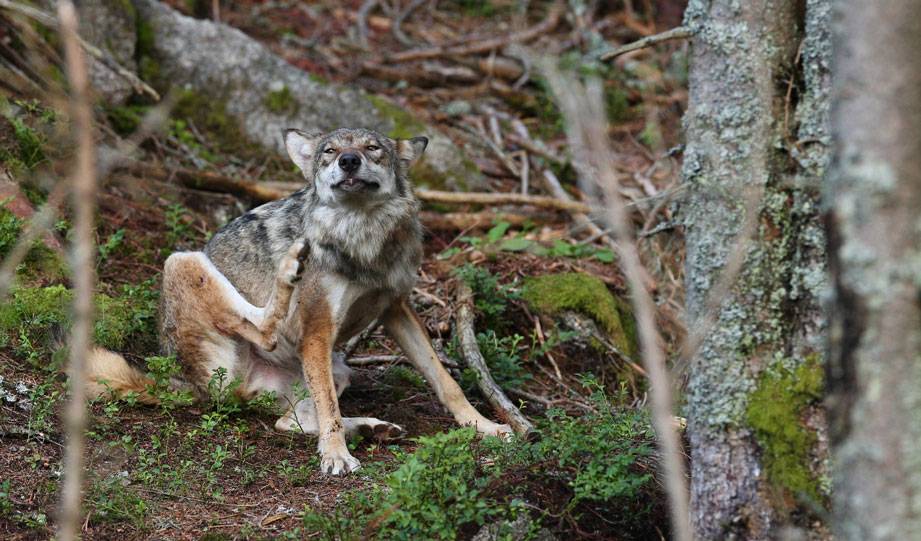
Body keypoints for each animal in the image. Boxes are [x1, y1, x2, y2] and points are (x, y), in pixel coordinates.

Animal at [88, 126, 510, 472]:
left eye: (372, 148)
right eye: (330, 151)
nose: (348, 160)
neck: (362, 238)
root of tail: (185, 382)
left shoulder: (395, 307)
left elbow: (444, 381)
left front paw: (484, 425)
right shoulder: (318, 330)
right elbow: (329, 409)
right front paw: (336, 457)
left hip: (338, 369)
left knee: (291, 420)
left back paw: (373, 428)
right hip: (181, 261)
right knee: (270, 335)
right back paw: (291, 267)